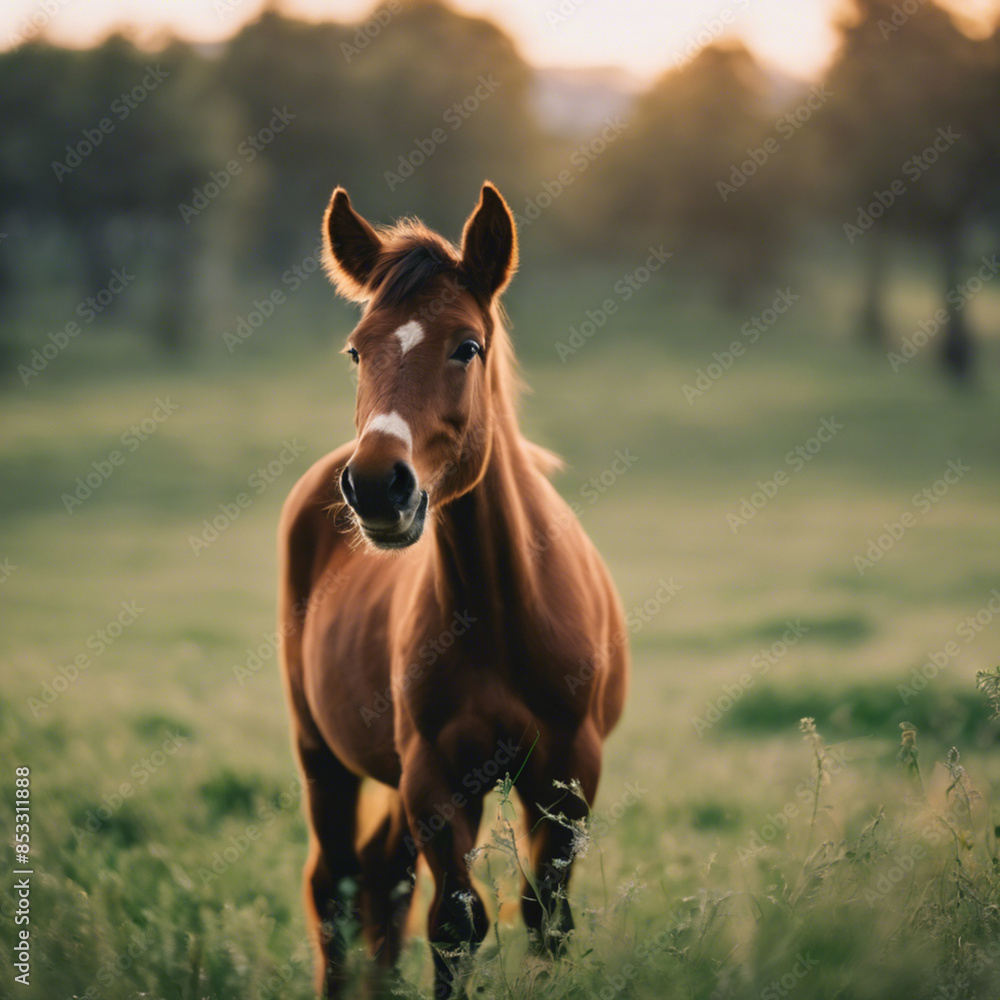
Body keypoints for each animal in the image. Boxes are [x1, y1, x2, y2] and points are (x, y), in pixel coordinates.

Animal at [277, 182, 629, 998]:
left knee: (379, 883)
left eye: (467, 345)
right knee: (336, 887)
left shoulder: (568, 776)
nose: (379, 485)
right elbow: (455, 926)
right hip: (323, 757)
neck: (503, 613)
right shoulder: (437, 779)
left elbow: (545, 920)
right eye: (357, 349)